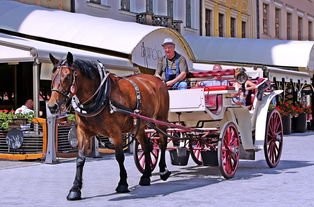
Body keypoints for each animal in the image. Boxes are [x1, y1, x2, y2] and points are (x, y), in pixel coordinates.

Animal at [47, 52, 170, 200]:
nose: (52, 106)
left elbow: (119, 156)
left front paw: (122, 183)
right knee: (147, 147)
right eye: (52, 76)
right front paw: (75, 189)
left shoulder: (115, 132)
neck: (101, 97)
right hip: (140, 125)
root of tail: (157, 80)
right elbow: (80, 158)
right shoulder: (83, 132)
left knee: (162, 142)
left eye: (67, 77)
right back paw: (146, 176)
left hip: (160, 120)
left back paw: (163, 171)